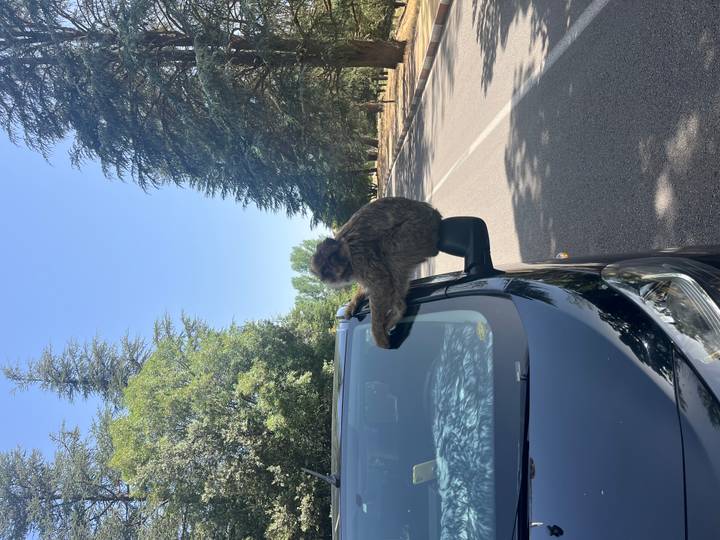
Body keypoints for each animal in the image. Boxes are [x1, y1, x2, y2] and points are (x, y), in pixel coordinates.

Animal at [310, 197, 442, 348]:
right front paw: (355, 300)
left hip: (418, 232)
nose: (332, 273)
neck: (346, 249)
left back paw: (398, 309)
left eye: (330, 261)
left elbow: (381, 283)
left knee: (388, 251)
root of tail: (434, 215)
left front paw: (377, 330)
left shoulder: (359, 257)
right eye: (325, 271)